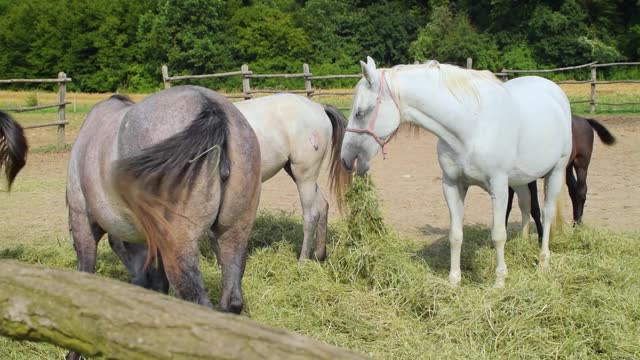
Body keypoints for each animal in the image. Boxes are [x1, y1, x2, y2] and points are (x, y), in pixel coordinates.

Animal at [66, 86, 262, 318]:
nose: (140, 282)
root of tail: (209, 105)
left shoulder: (81, 218)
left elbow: (86, 265)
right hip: (234, 233)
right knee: (232, 301)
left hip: (180, 242)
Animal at [342, 57, 572, 286]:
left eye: (360, 112)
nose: (346, 158)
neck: (471, 127)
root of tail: (553, 89)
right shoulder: (452, 185)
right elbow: (455, 235)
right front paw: (454, 280)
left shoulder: (498, 186)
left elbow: (498, 233)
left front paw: (499, 281)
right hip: (520, 179)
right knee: (525, 206)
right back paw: (522, 246)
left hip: (556, 171)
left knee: (547, 213)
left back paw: (543, 262)